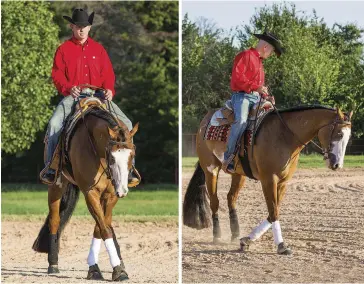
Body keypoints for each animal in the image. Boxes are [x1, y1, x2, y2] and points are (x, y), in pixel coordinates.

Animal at [32, 87, 139, 282]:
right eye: (112, 157)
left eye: (131, 155)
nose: (123, 190)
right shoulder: (90, 192)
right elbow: (103, 229)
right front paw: (99, 269)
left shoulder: (110, 195)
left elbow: (102, 227)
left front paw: (114, 269)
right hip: (56, 186)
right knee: (55, 220)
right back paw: (53, 264)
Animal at [185, 104, 352, 255]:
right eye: (339, 134)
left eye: (348, 136)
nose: (337, 164)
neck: (285, 136)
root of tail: (206, 119)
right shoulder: (268, 180)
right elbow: (273, 211)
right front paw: (281, 245)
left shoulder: (283, 182)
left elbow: (274, 210)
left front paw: (247, 240)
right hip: (210, 169)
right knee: (215, 202)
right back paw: (217, 235)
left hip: (238, 174)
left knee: (230, 198)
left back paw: (235, 233)